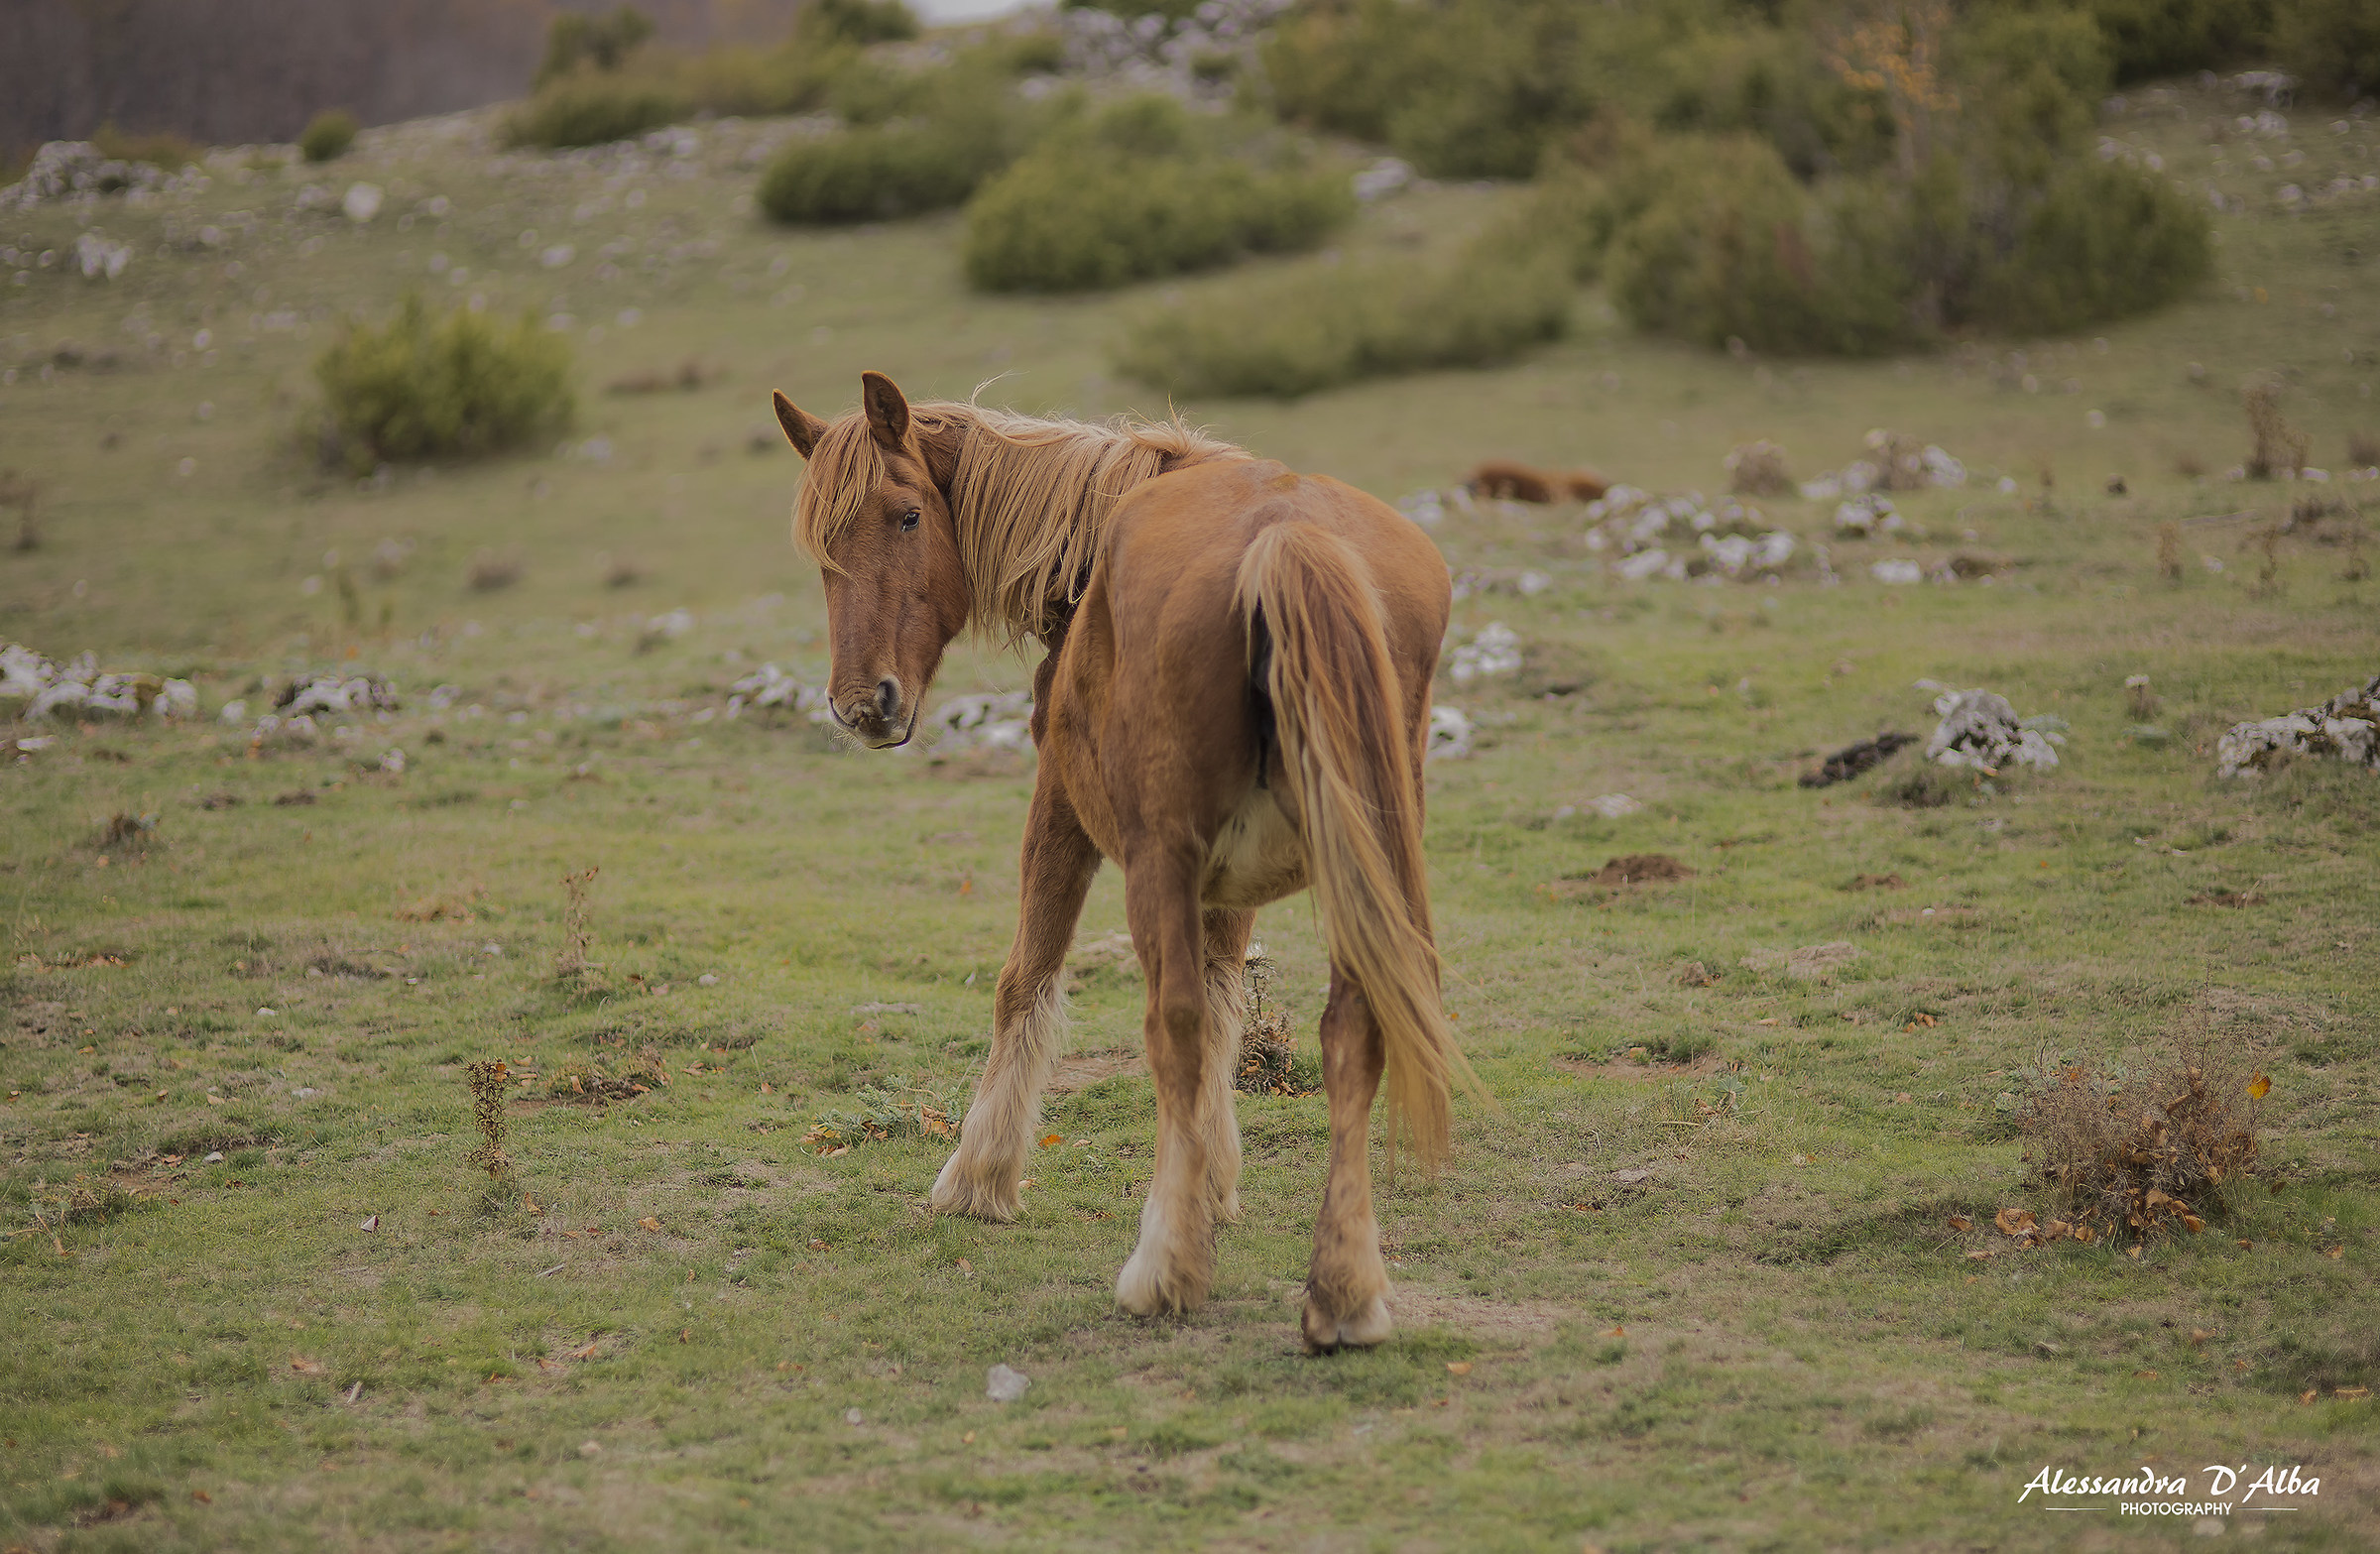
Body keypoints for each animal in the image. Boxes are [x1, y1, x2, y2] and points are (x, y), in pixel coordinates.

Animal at [771, 372, 1472, 1350]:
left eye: (906, 517)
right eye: (823, 547)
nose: (860, 706)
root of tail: (1287, 534)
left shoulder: (1062, 807)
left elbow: (1029, 977)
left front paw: (979, 1177)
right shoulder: (1232, 880)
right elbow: (1226, 1000)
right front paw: (1214, 1182)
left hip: (1159, 861)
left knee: (1170, 1026)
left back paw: (1163, 1267)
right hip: (1360, 869)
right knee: (1351, 1029)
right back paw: (1344, 1287)